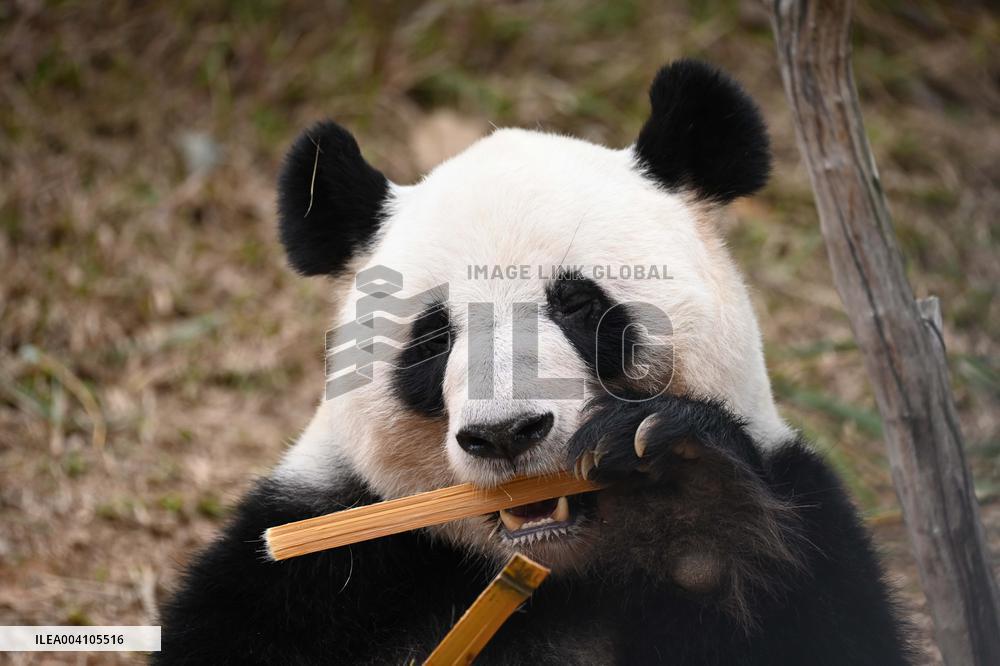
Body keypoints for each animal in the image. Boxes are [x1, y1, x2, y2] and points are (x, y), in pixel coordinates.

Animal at [156, 60, 911, 665]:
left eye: (577, 304)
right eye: (433, 338)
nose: (505, 434)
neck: (552, 569)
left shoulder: (804, 510)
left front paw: (683, 496)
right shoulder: (317, 562)